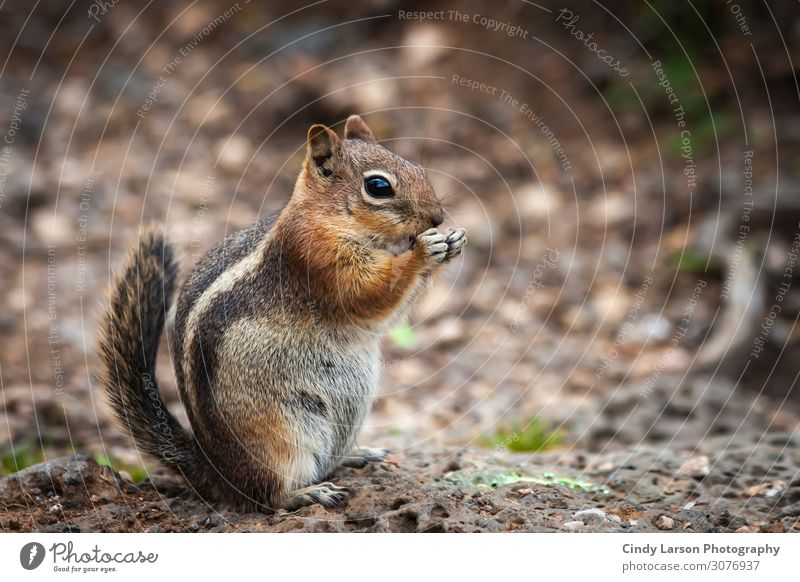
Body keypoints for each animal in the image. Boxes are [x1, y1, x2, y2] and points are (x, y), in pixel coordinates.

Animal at [97, 114, 466, 512]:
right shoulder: (316, 257)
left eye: (418, 168)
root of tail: (217, 474)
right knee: (269, 496)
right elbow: (370, 295)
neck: (325, 216)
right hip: (282, 437)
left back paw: (357, 454)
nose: (437, 217)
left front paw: (452, 241)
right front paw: (423, 251)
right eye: (378, 186)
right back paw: (307, 492)